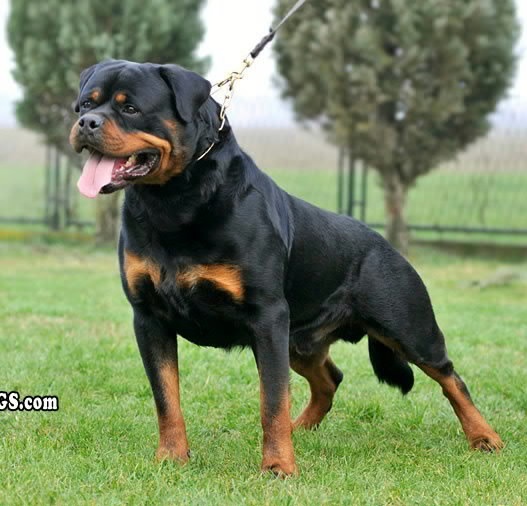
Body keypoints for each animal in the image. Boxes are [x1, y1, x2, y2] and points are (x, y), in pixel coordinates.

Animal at [70, 60, 503, 476]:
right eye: (86, 104)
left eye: (130, 108)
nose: (87, 123)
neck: (174, 201)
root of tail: (386, 244)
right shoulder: (149, 318)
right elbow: (166, 397)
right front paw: (171, 458)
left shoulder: (267, 317)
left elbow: (273, 399)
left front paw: (278, 466)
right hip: (299, 339)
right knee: (330, 379)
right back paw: (303, 429)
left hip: (406, 328)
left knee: (451, 377)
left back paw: (485, 437)